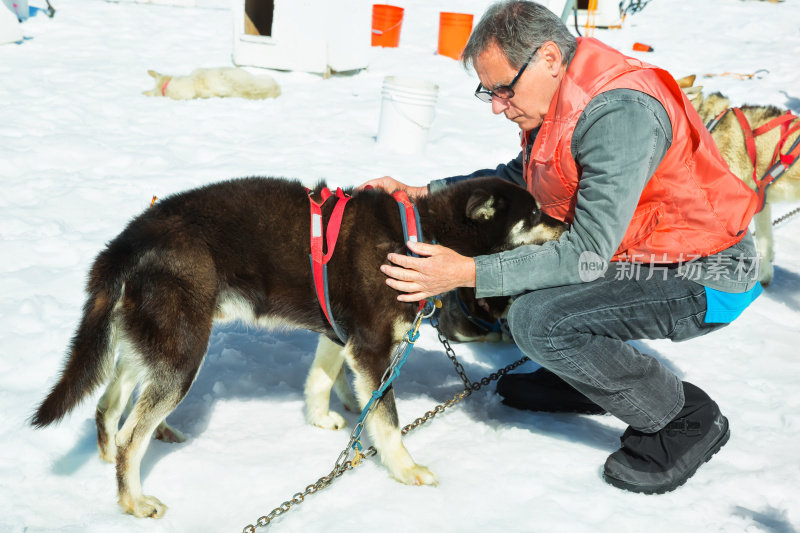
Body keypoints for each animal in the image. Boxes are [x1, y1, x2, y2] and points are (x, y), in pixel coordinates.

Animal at [29, 177, 564, 516]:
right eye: (535, 213)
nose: (565, 223)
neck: (419, 235)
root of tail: (129, 239)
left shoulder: (339, 335)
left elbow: (322, 380)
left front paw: (324, 417)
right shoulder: (371, 347)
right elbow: (388, 421)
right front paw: (406, 470)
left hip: (151, 346)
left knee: (109, 404)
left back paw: (124, 451)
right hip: (183, 352)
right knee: (128, 436)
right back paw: (134, 500)